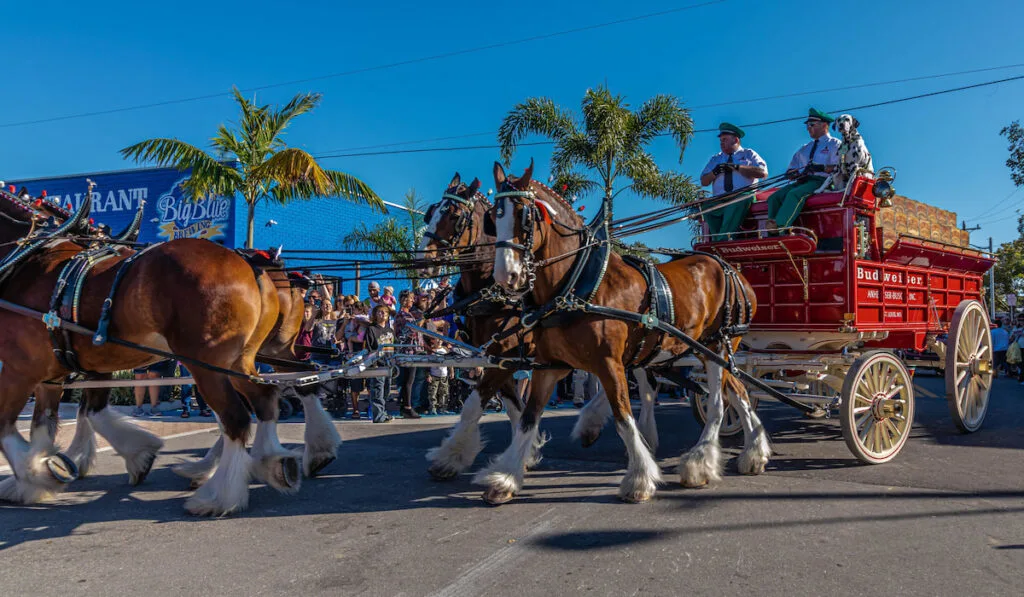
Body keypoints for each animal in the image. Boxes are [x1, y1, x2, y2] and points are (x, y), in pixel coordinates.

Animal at [483, 163, 770, 503]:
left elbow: (623, 417)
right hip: (709, 349)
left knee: (716, 403)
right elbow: (529, 418)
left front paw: (639, 479)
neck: (578, 283)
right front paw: (506, 478)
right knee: (739, 393)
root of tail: (732, 269)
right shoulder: (551, 366)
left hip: (717, 346)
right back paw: (755, 452)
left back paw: (699, 464)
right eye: (493, 218)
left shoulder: (609, 363)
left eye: (524, 216)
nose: (506, 276)